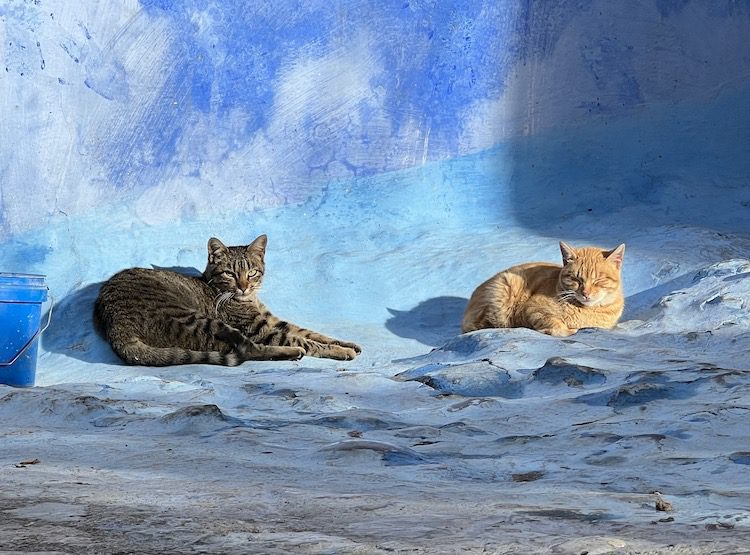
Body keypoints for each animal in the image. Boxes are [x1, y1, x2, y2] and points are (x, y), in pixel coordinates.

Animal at [92, 236, 362, 370]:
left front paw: (346, 344)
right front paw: (341, 351)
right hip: (203, 321)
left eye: (251, 273)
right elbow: (304, 339)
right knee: (249, 349)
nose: (243, 286)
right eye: (230, 274)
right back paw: (292, 352)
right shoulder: (261, 328)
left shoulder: (273, 321)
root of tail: (117, 328)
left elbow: (312, 332)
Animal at [464, 242, 628, 336]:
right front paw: (562, 330)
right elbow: (553, 322)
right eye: (576, 279)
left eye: (598, 280)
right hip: (506, 287)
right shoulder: (532, 308)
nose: (585, 293)